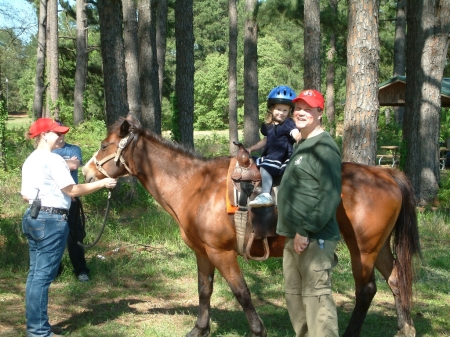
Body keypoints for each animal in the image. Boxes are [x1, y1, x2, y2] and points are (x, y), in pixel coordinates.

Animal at [81, 116, 422, 336]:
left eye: (104, 145)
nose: (86, 172)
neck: (195, 185)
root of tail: (386, 173)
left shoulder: (221, 253)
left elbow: (242, 292)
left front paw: (258, 330)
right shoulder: (203, 253)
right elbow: (204, 290)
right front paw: (200, 328)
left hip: (362, 249)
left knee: (366, 289)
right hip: (378, 247)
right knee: (395, 281)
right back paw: (405, 328)